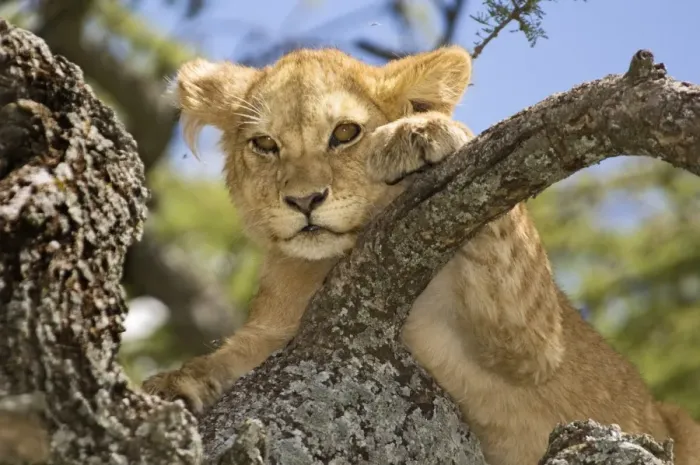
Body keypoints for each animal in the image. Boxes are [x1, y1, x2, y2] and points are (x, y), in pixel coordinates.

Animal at [142, 46, 700, 465]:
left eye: (345, 133)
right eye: (264, 144)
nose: (303, 201)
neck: (330, 261)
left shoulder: (534, 342)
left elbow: (497, 199)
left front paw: (422, 132)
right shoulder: (275, 334)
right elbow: (225, 359)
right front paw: (173, 385)